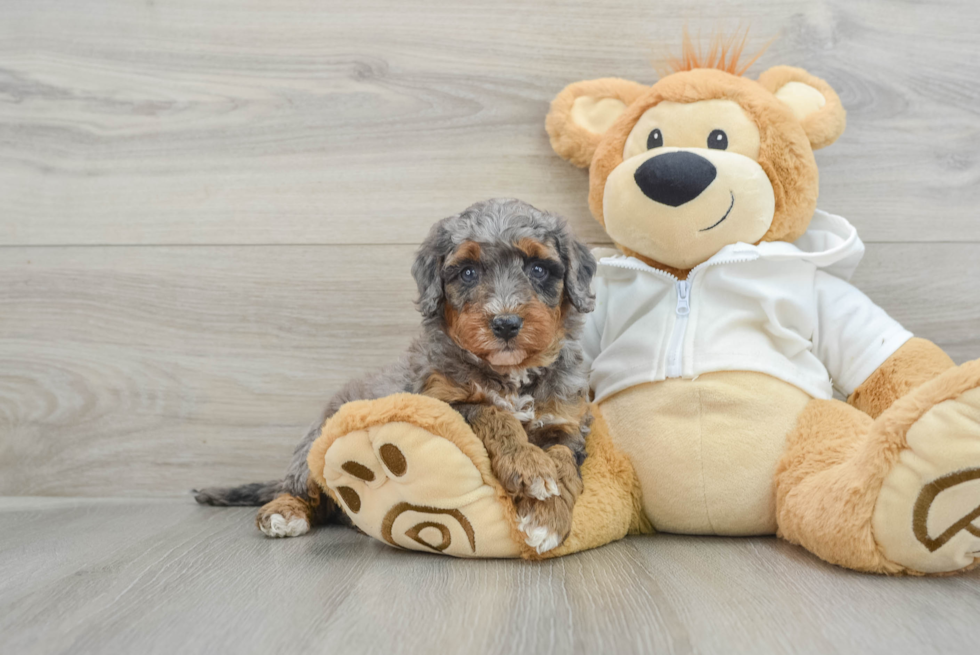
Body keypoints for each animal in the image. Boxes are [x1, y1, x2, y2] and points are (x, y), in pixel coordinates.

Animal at [196, 197, 596, 552]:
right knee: (300, 490)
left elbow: (563, 458)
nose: (506, 323)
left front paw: (546, 518)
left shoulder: (565, 422)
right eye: (468, 272)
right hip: (314, 445)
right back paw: (283, 512)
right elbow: (493, 413)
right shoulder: (441, 402)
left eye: (538, 269)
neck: (510, 372)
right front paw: (530, 466)